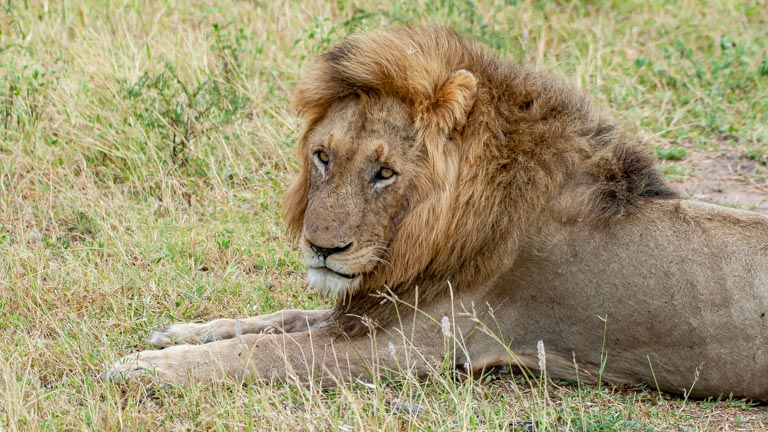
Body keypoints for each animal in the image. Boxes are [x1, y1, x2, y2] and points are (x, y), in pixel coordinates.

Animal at [104, 25, 768, 402]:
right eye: (323, 157)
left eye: (385, 173)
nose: (322, 248)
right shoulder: (376, 304)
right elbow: (276, 319)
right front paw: (177, 334)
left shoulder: (408, 349)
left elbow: (268, 353)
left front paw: (142, 369)